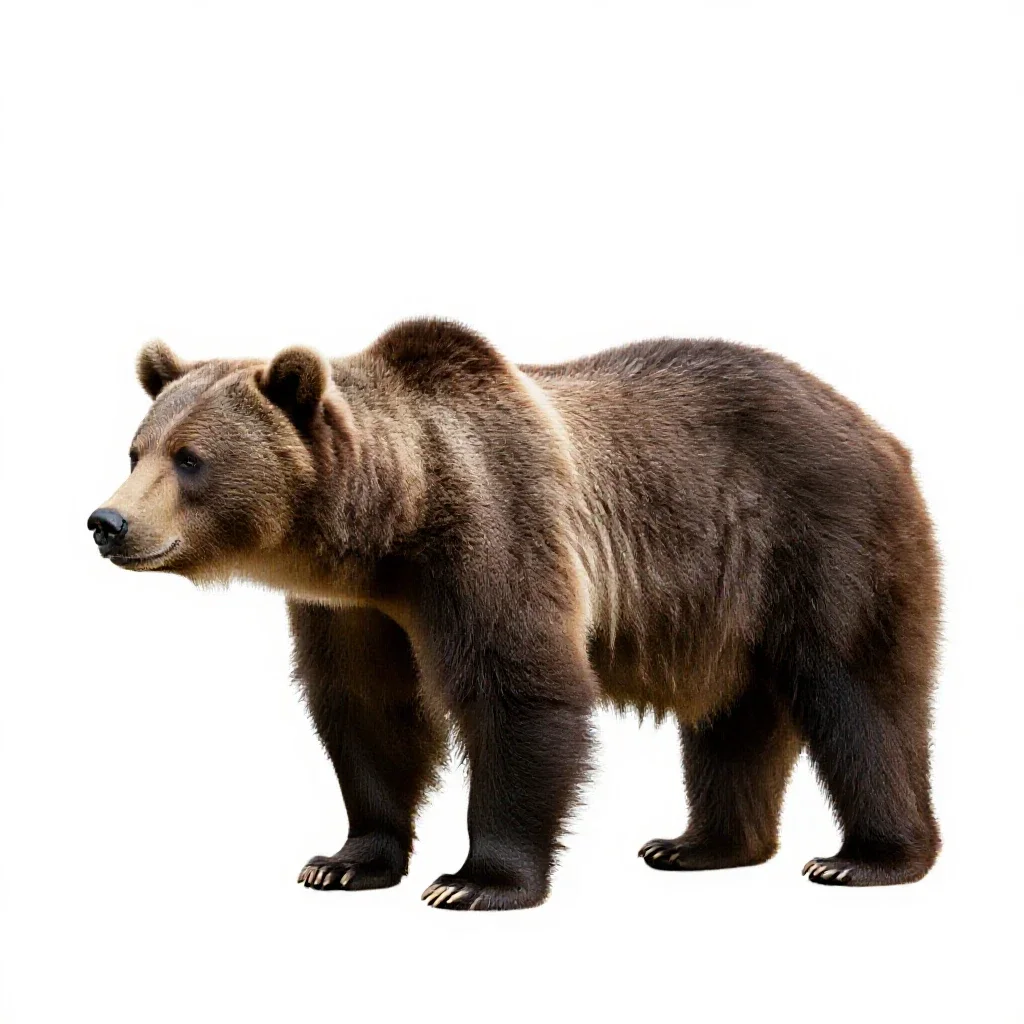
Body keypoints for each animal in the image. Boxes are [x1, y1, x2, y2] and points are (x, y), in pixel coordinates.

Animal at [88, 318, 941, 910]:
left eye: (191, 459)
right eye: (136, 450)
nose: (107, 522)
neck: (391, 529)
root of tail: (880, 429)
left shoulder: (494, 529)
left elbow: (518, 690)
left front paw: (473, 880)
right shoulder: (352, 610)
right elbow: (365, 710)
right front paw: (343, 861)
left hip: (821, 539)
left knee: (860, 696)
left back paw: (864, 858)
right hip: (724, 610)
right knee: (734, 721)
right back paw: (697, 845)